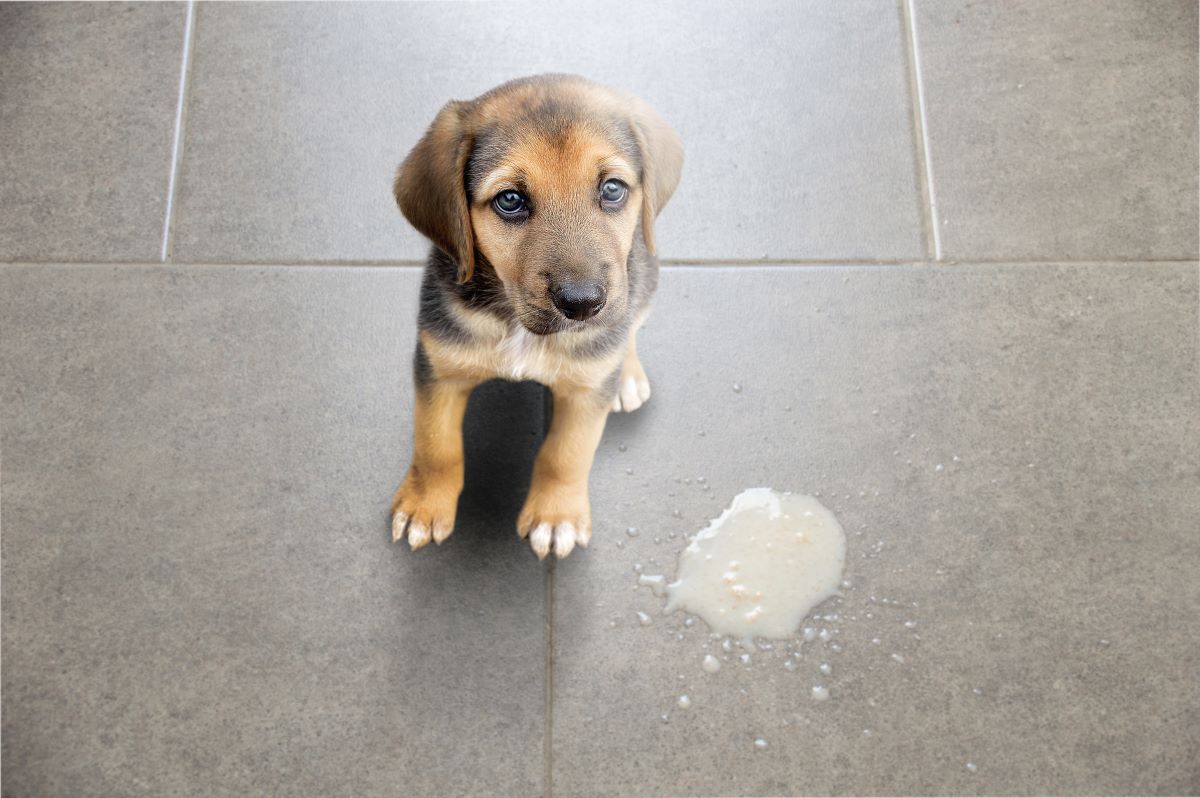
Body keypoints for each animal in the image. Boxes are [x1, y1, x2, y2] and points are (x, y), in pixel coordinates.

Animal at [388, 74, 681, 559]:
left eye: (612, 189)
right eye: (510, 200)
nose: (583, 305)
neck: (516, 324)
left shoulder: (585, 392)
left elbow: (566, 454)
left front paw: (556, 516)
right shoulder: (438, 367)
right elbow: (435, 445)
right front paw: (424, 506)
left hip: (643, 281)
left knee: (630, 326)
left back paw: (627, 376)